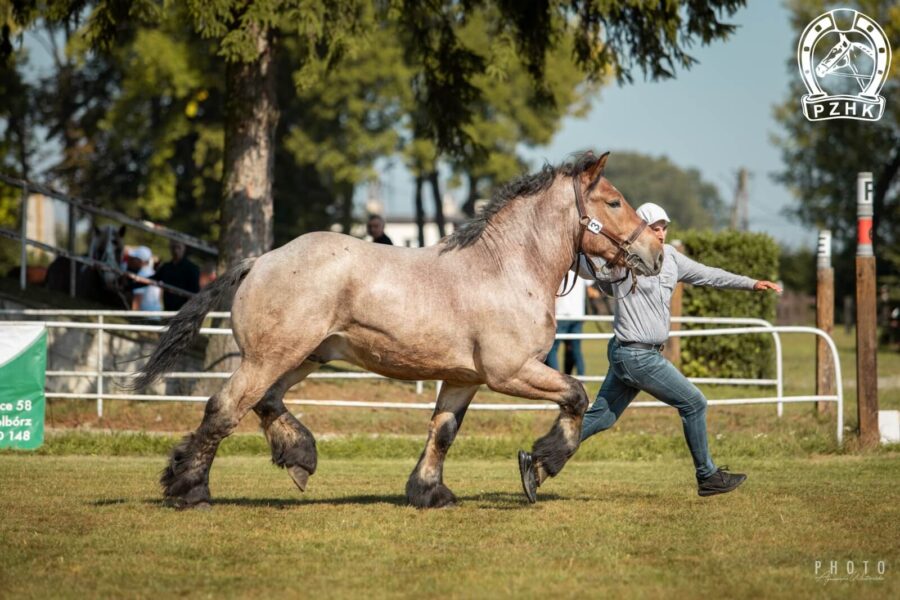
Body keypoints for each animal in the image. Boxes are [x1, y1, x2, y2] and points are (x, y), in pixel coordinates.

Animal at [132, 152, 660, 508]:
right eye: (614, 202)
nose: (653, 253)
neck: (504, 268)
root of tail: (259, 260)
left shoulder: (464, 379)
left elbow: (442, 432)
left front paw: (429, 492)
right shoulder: (509, 372)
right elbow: (575, 395)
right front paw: (542, 465)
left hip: (305, 356)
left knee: (265, 402)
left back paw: (300, 458)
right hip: (270, 357)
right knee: (225, 408)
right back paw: (189, 489)